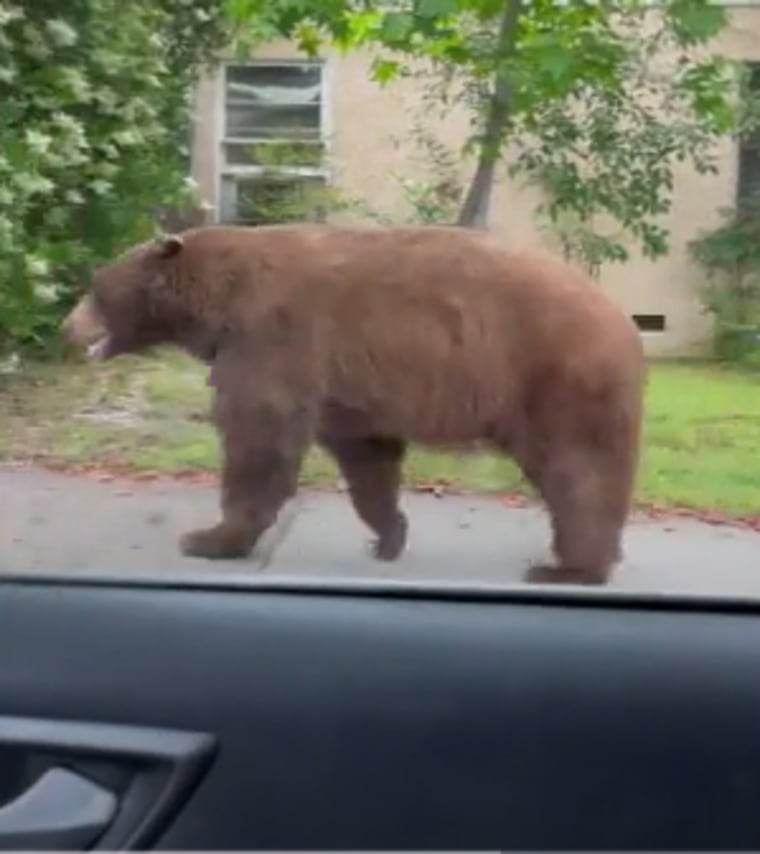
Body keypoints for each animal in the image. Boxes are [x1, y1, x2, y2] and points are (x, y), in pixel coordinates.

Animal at [62, 224, 644, 584]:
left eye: (95, 287)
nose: (67, 327)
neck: (218, 302)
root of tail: (624, 321)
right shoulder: (348, 387)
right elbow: (366, 455)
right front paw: (389, 535)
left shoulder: (274, 340)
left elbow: (259, 436)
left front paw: (210, 537)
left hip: (558, 380)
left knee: (579, 471)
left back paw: (570, 568)